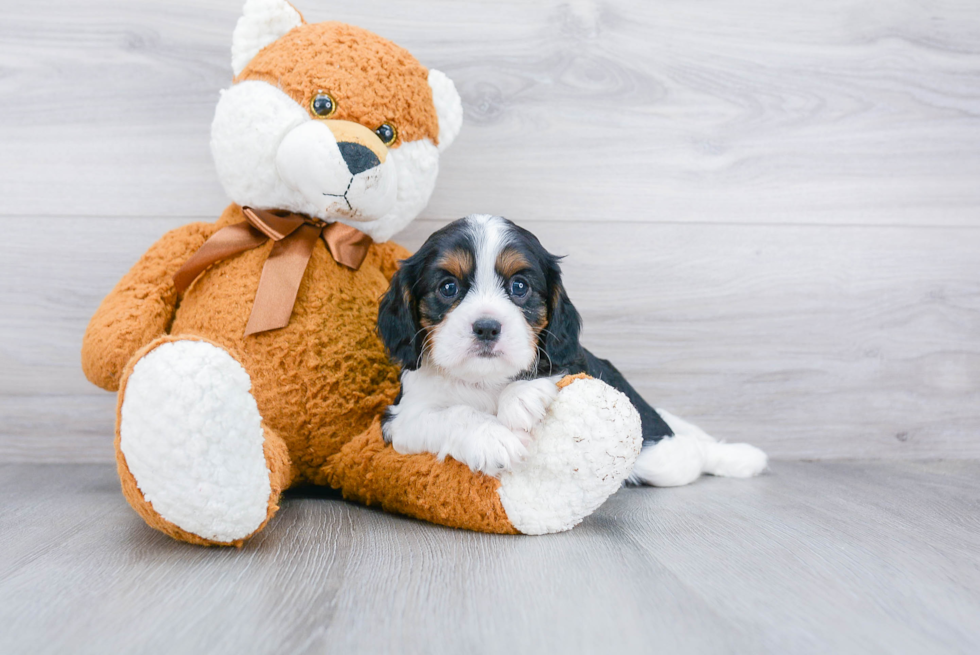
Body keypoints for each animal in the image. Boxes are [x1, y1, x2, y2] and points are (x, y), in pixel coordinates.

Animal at [378, 213, 768, 484]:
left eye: (519, 286)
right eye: (448, 287)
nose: (487, 327)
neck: (483, 380)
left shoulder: (582, 362)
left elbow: (566, 367)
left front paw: (522, 396)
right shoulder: (399, 420)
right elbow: (451, 414)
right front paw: (491, 437)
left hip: (661, 455)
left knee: (693, 451)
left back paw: (741, 457)